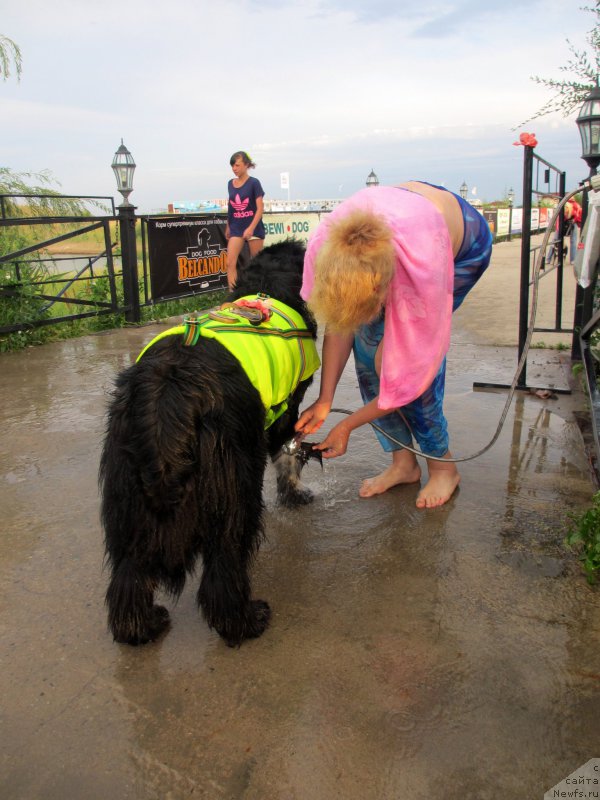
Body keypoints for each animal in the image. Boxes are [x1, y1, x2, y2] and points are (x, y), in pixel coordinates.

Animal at [99, 241, 318, 648]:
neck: (266, 286)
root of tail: (170, 393)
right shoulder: (285, 409)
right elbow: (288, 452)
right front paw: (295, 493)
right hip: (232, 485)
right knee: (223, 566)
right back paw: (245, 621)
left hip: (126, 491)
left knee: (129, 572)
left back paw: (141, 627)